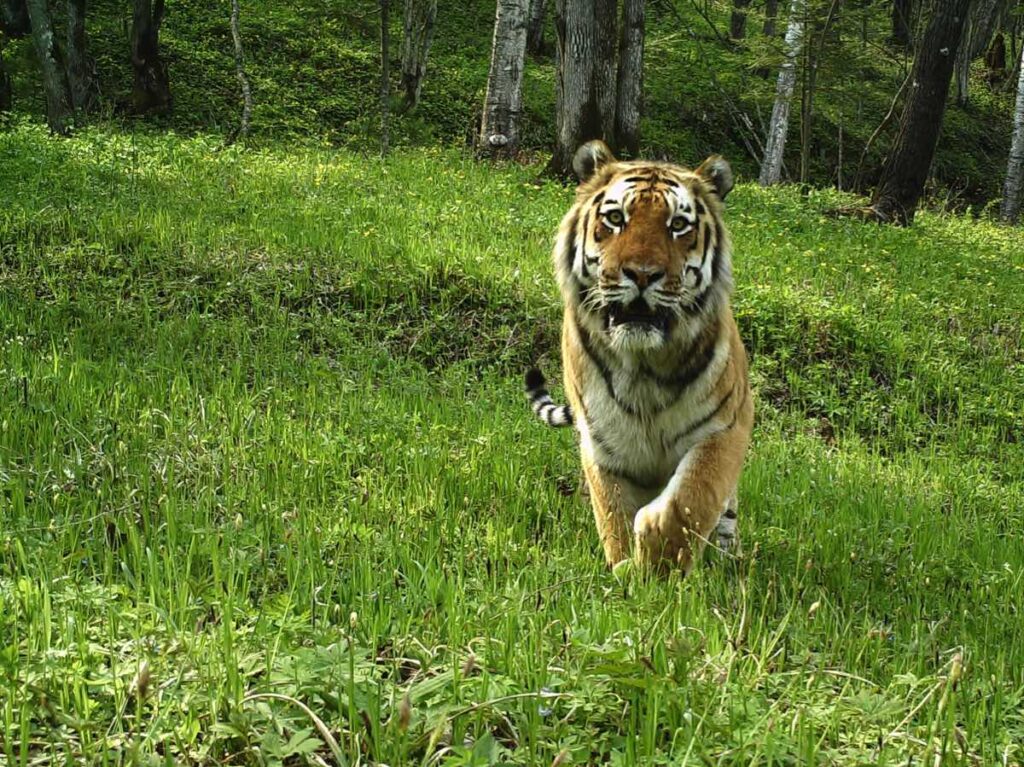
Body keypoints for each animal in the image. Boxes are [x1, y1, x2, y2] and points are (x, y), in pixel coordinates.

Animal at [528, 140, 753, 573]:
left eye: (678, 225)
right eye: (616, 218)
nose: (642, 273)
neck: (644, 366)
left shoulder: (724, 429)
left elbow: (690, 499)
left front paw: (658, 561)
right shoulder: (604, 443)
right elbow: (613, 514)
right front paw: (626, 572)